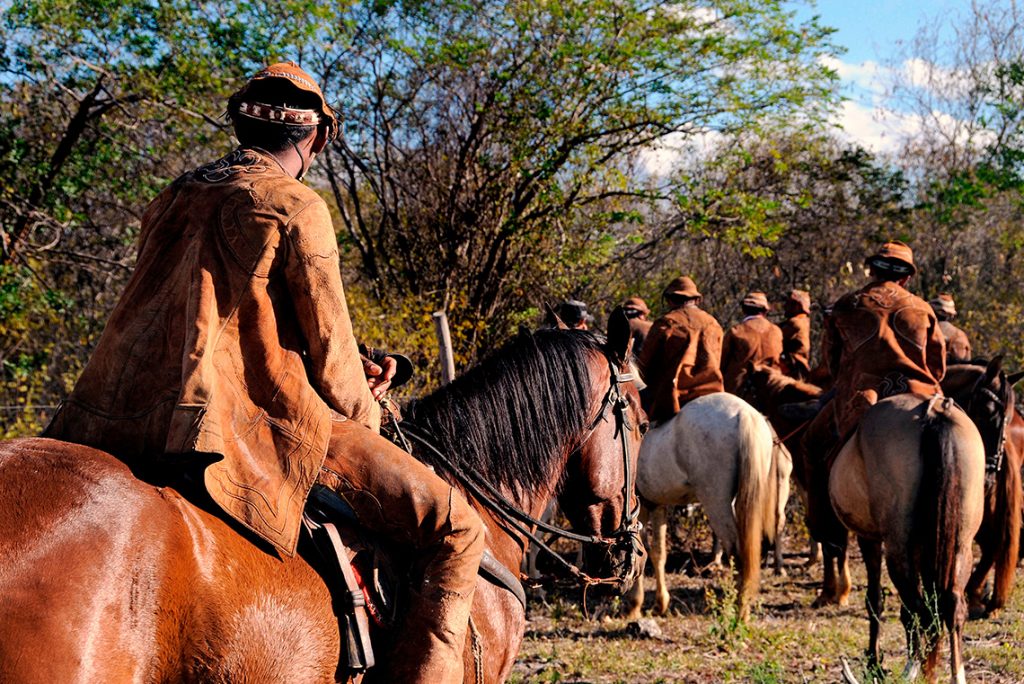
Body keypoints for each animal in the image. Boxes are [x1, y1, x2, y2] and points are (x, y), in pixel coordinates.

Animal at [618, 389, 778, 618]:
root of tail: (744, 415)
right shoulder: (657, 507)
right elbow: (658, 553)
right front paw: (660, 604)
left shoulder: (639, 511)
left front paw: (634, 606)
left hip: (716, 502)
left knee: (737, 553)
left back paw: (740, 612)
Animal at [827, 395, 987, 684]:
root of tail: (934, 412)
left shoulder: (870, 539)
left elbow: (875, 601)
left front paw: (874, 663)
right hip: (961, 546)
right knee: (950, 607)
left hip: (897, 548)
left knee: (919, 608)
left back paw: (916, 667)